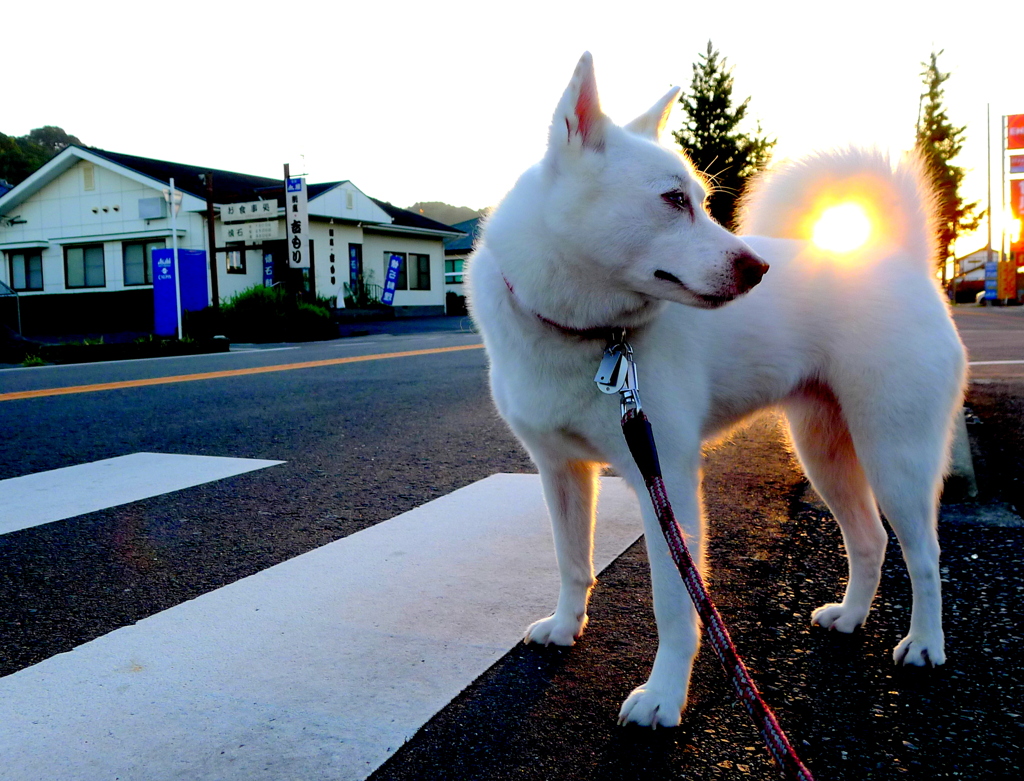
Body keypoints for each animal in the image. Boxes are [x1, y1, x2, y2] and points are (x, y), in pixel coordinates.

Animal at [468, 53, 962, 728]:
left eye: (701, 201)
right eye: (675, 200)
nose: (758, 269)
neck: (591, 334)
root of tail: (903, 261)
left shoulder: (665, 476)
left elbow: (676, 606)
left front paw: (662, 696)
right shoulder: (561, 471)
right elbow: (573, 563)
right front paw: (567, 627)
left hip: (895, 458)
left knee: (925, 556)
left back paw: (925, 644)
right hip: (824, 452)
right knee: (870, 540)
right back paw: (851, 617)